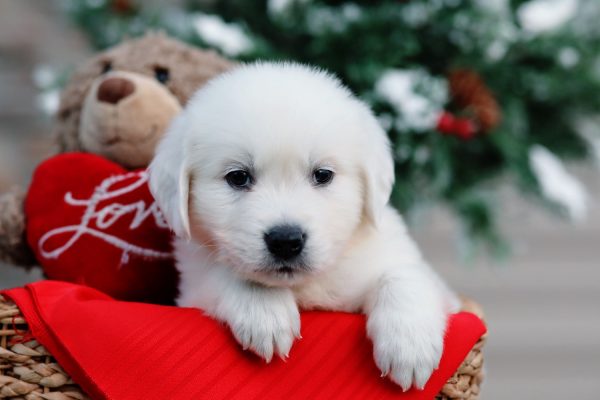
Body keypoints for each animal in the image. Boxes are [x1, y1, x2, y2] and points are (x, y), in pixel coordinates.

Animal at [150, 62, 460, 390]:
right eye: (238, 177)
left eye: (322, 174)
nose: (286, 241)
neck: (306, 285)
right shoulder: (192, 284)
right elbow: (230, 273)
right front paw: (264, 311)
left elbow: (403, 276)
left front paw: (409, 347)